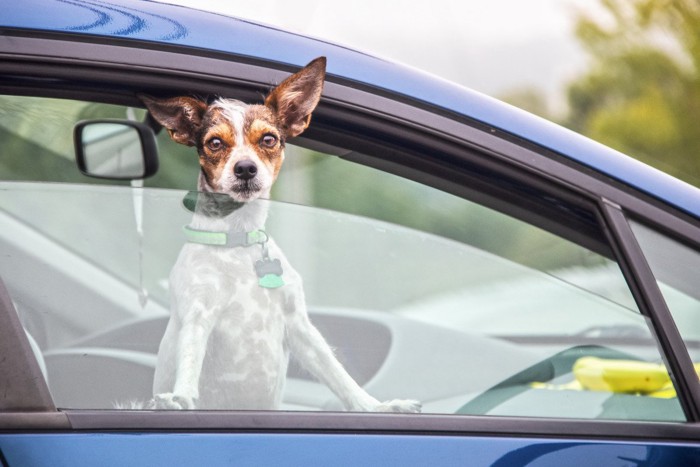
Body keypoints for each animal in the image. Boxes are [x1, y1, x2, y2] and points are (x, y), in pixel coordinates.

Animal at [139, 57, 418, 414]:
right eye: (215, 143)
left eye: (269, 139)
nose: (245, 168)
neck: (239, 242)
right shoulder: (197, 317)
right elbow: (188, 364)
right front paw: (181, 397)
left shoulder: (299, 326)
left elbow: (338, 375)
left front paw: (375, 406)